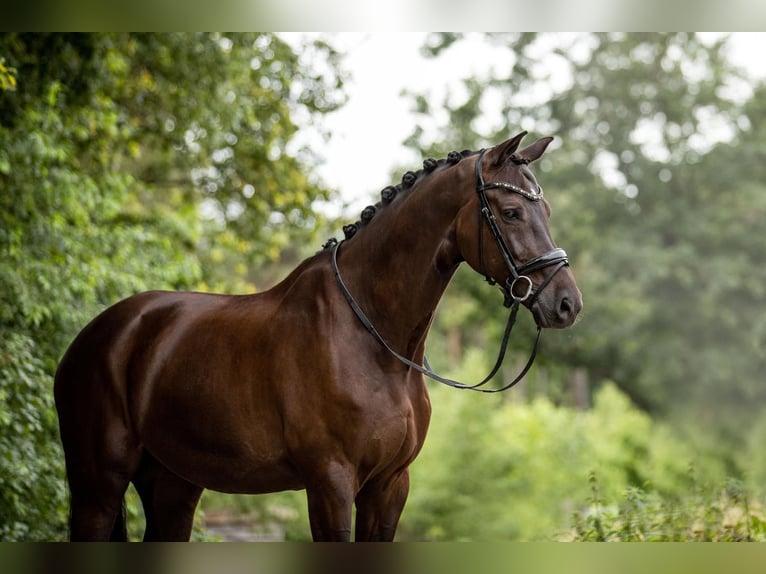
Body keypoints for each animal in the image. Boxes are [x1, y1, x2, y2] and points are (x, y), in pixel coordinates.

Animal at [54, 132, 582, 541]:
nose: (567, 304)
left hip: (173, 484)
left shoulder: (390, 486)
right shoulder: (331, 483)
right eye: (511, 212)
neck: (372, 340)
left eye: (547, 210)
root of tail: (96, 335)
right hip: (98, 483)